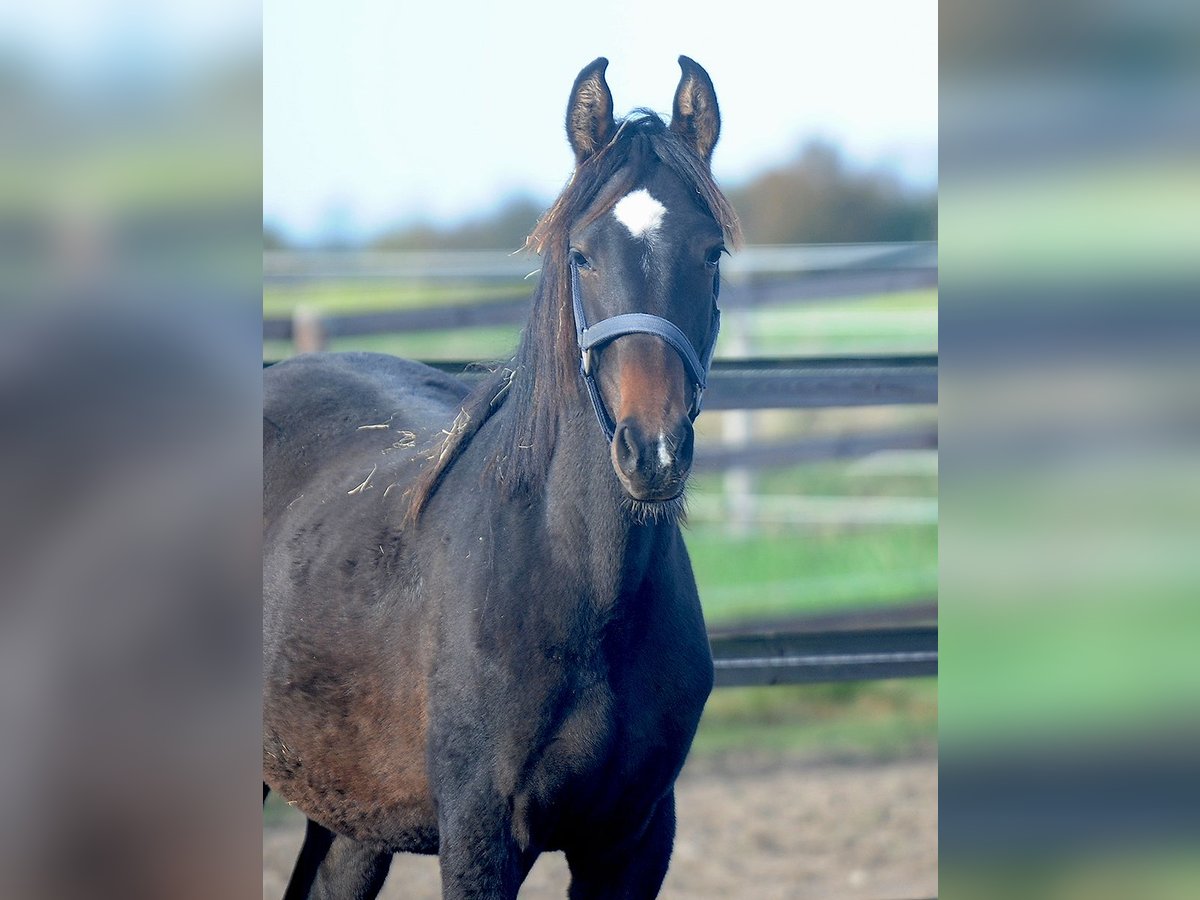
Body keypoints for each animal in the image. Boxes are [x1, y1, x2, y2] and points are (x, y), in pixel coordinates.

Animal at [265, 58, 739, 900]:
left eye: (711, 252)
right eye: (582, 254)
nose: (651, 450)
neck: (580, 584)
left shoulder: (633, 843)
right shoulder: (480, 841)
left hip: (350, 816)